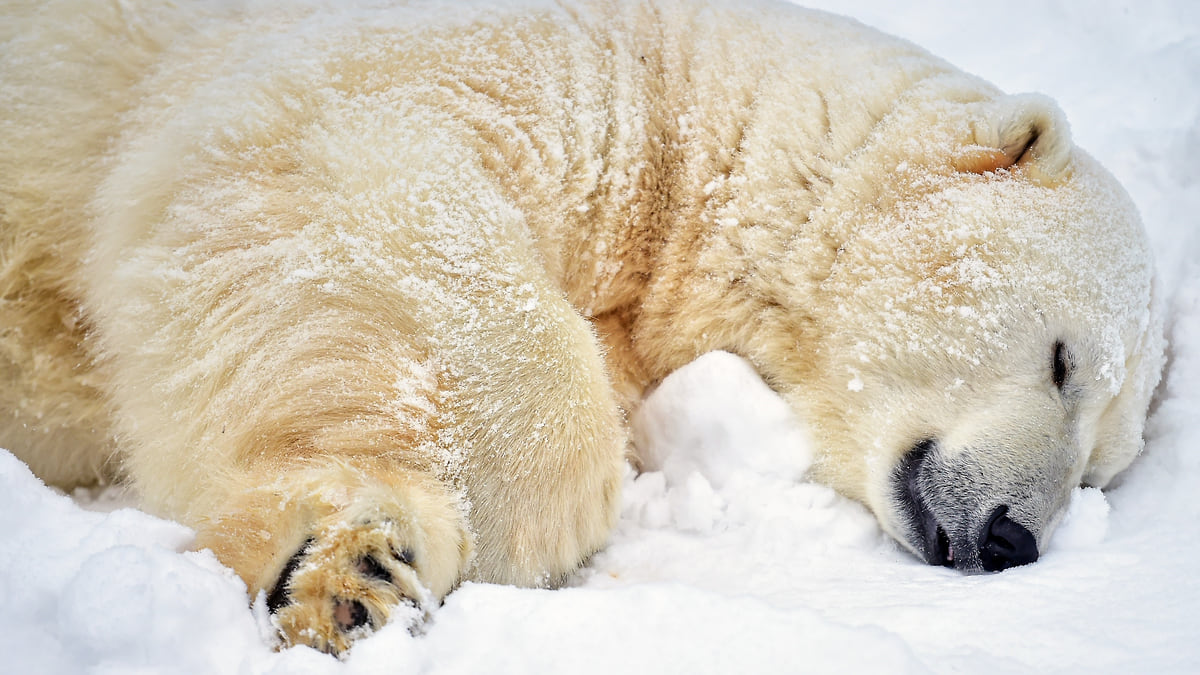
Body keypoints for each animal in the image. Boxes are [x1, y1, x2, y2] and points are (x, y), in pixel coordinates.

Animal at [0, 0, 1161, 653]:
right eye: (1064, 361)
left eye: (1101, 467)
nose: (1012, 537)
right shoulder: (528, 64)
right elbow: (354, 165)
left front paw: (358, 571)